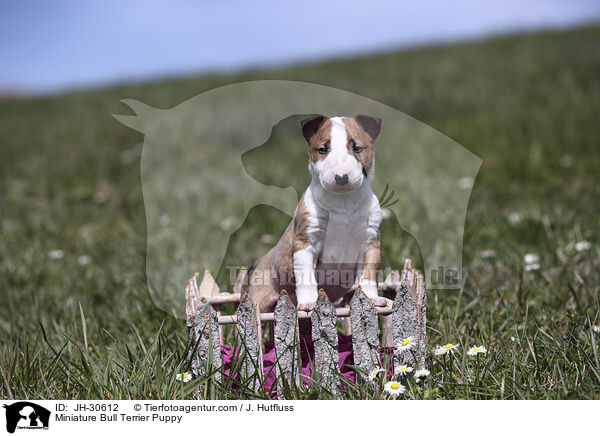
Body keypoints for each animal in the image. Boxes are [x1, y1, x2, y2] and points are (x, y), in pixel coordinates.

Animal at [241, 114, 382, 312]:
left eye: (357, 148)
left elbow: (368, 276)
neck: (343, 202)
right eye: (323, 149)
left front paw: (372, 299)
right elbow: (307, 277)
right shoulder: (305, 243)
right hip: (260, 298)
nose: (341, 177)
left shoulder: (371, 243)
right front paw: (309, 302)